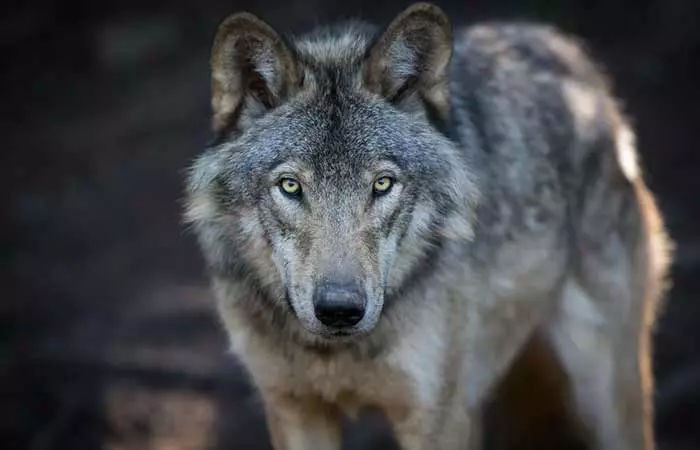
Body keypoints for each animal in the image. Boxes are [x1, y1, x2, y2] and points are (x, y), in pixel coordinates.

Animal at [184, 3, 672, 449]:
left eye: (382, 184)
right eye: (290, 186)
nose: (340, 309)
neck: (338, 352)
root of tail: (562, 48)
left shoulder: (436, 417)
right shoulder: (294, 409)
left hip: (603, 387)